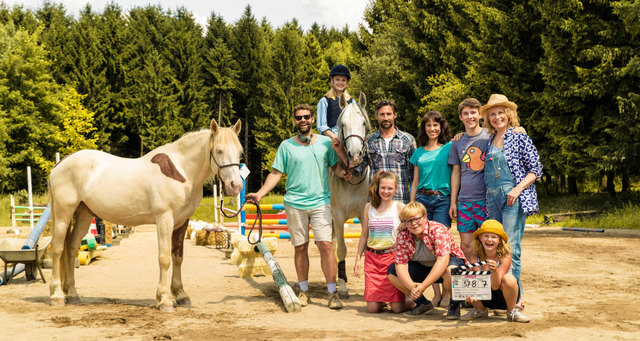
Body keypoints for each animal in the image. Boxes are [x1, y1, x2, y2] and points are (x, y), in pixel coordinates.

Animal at [48, 119, 244, 310]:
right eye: (219, 150)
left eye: (240, 151)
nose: (235, 186)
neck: (180, 171)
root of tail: (59, 165)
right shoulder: (164, 219)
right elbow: (164, 258)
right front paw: (165, 300)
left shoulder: (182, 222)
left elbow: (177, 257)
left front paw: (181, 295)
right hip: (63, 212)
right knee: (58, 249)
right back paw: (57, 296)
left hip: (83, 214)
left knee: (71, 248)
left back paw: (72, 294)